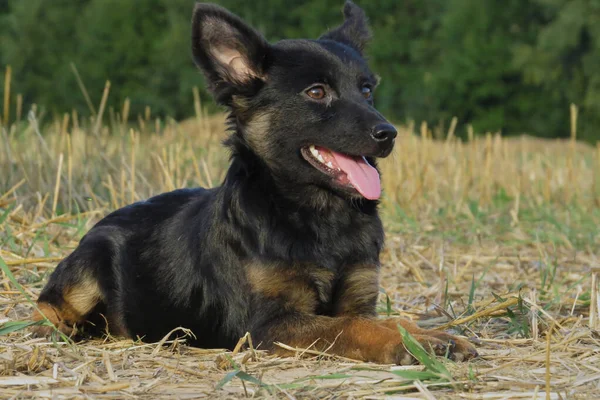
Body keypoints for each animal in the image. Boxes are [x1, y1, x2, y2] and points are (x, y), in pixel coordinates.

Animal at [31, 0, 478, 364]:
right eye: (317, 92)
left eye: (367, 90)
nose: (389, 134)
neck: (317, 214)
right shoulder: (268, 325)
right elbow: (350, 328)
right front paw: (411, 345)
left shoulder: (359, 297)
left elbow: (388, 319)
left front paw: (432, 335)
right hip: (85, 270)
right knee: (45, 304)